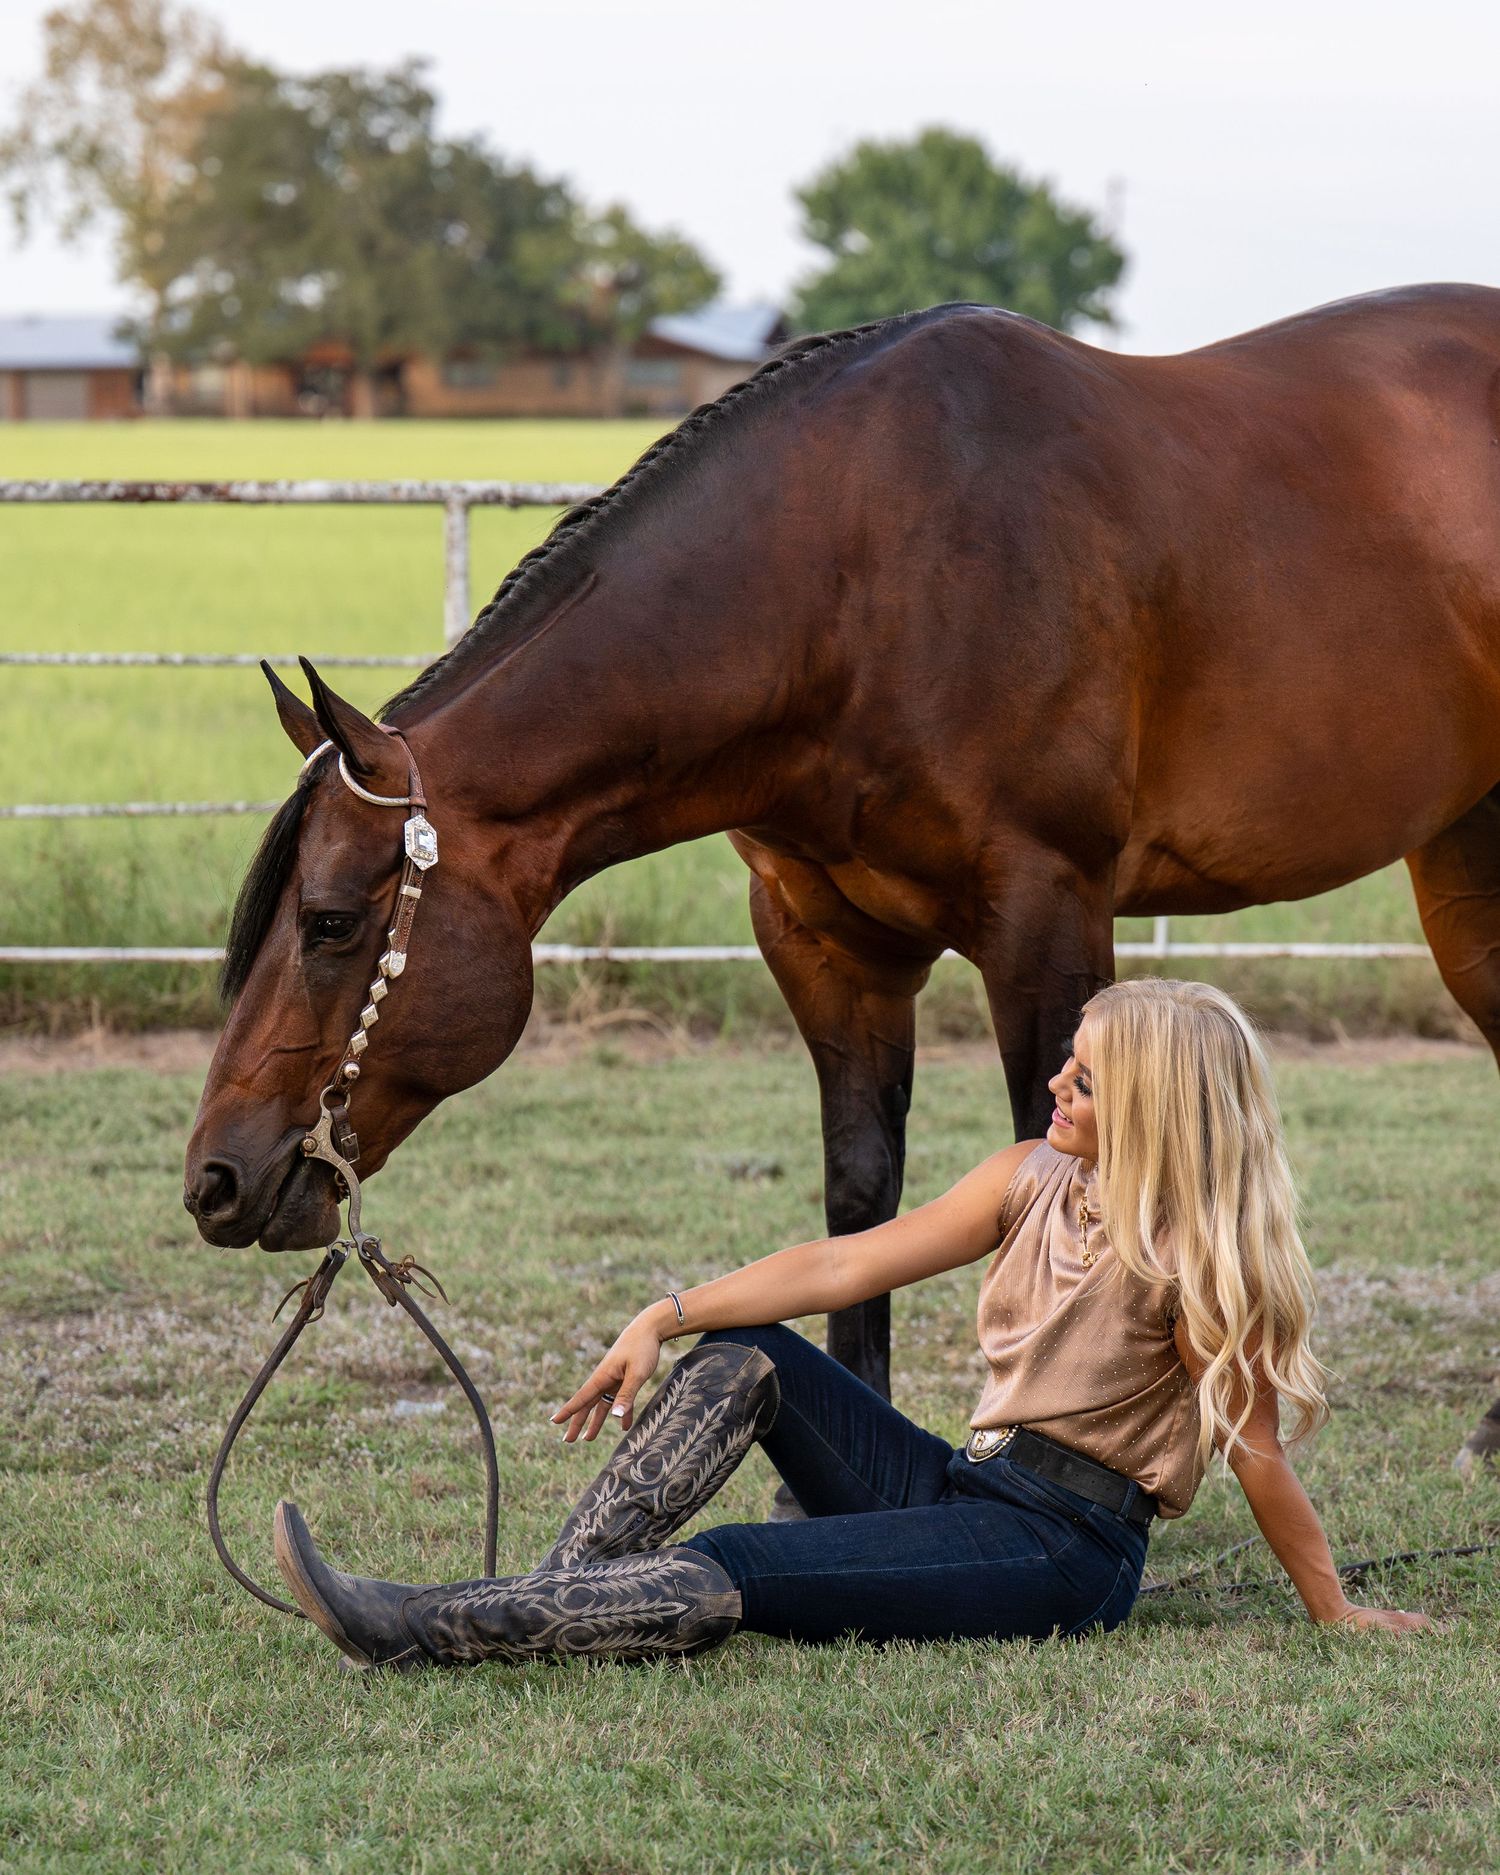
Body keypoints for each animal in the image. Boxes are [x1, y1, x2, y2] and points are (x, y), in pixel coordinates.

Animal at [185, 283, 1500, 1460]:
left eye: (331, 921)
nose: (214, 1179)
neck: (856, 577)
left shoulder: (1049, 915)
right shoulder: (828, 945)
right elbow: (860, 1196)